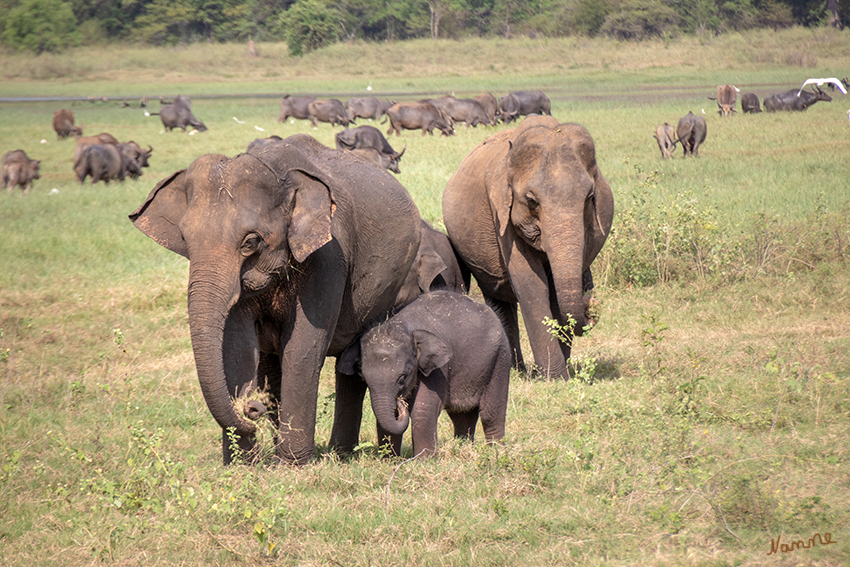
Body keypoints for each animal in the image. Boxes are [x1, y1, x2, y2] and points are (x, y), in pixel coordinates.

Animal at [129, 134, 420, 466]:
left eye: (250, 242)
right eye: (185, 239)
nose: (251, 408)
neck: (280, 175)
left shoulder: (330, 255)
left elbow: (303, 347)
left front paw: (293, 463)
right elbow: (237, 346)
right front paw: (242, 465)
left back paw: (344, 453)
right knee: (274, 368)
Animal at [338, 292, 510, 458]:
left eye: (403, 377)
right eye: (364, 377)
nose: (400, 401)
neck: (401, 324)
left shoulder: (438, 368)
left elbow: (423, 408)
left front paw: (423, 461)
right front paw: (389, 461)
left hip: (499, 360)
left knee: (491, 413)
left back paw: (496, 453)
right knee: (461, 415)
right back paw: (463, 448)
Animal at [440, 115, 612, 382]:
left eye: (590, 197)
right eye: (532, 200)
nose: (591, 303)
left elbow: (555, 291)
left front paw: (560, 375)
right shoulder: (501, 215)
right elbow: (531, 284)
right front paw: (555, 379)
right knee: (498, 298)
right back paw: (515, 370)